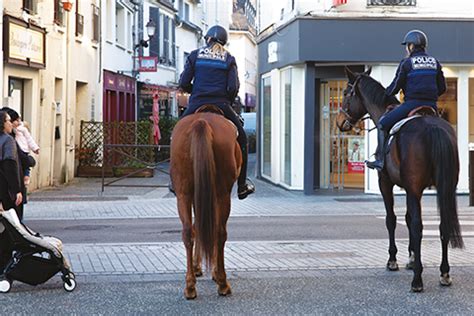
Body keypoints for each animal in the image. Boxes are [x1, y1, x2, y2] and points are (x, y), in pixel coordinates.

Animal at [169, 108, 241, 298]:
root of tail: (201, 121)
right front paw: (213, 271)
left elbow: (198, 226)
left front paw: (196, 266)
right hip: (223, 194)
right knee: (219, 232)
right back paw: (222, 283)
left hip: (184, 193)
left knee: (188, 231)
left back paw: (190, 286)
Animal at [336, 66, 462, 292]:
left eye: (345, 93)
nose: (340, 122)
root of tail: (434, 127)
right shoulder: (410, 188)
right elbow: (408, 218)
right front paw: (411, 258)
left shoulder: (387, 183)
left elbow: (392, 219)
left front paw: (393, 260)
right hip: (445, 187)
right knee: (442, 225)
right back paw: (444, 273)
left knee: (419, 227)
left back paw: (418, 280)